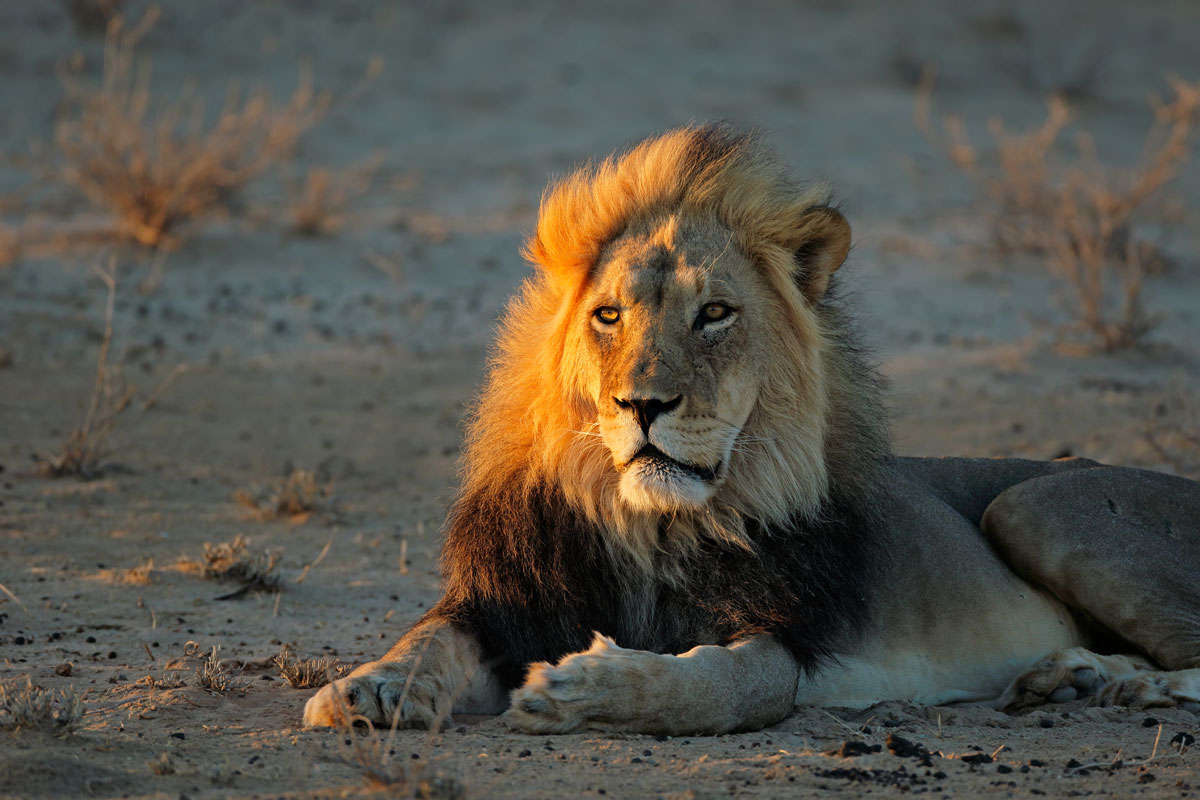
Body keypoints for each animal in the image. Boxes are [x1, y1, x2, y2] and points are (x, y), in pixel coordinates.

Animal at [307, 122, 1200, 734]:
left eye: (714, 314)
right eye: (608, 315)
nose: (642, 404)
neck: (649, 528)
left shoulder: (784, 644)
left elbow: (708, 687)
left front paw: (585, 689)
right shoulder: (508, 602)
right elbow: (432, 635)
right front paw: (373, 685)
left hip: (1033, 505)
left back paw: (1126, 685)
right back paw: (1075, 677)